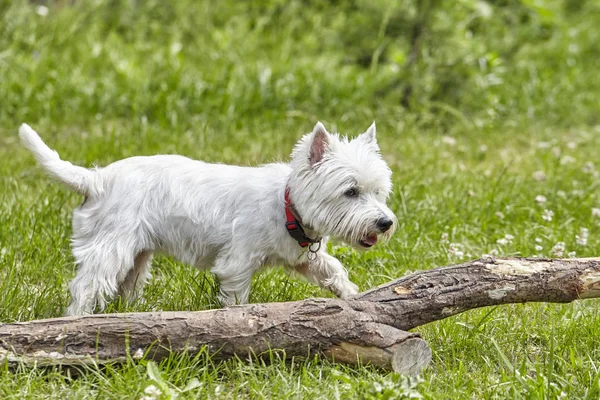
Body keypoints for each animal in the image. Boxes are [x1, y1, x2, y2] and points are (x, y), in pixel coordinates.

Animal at [18, 122, 396, 316]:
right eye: (350, 191)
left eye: (379, 192)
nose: (385, 223)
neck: (288, 207)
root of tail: (97, 179)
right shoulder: (237, 264)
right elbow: (237, 298)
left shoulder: (300, 257)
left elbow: (331, 268)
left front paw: (352, 296)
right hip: (113, 245)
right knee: (86, 285)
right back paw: (77, 321)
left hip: (138, 253)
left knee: (125, 285)